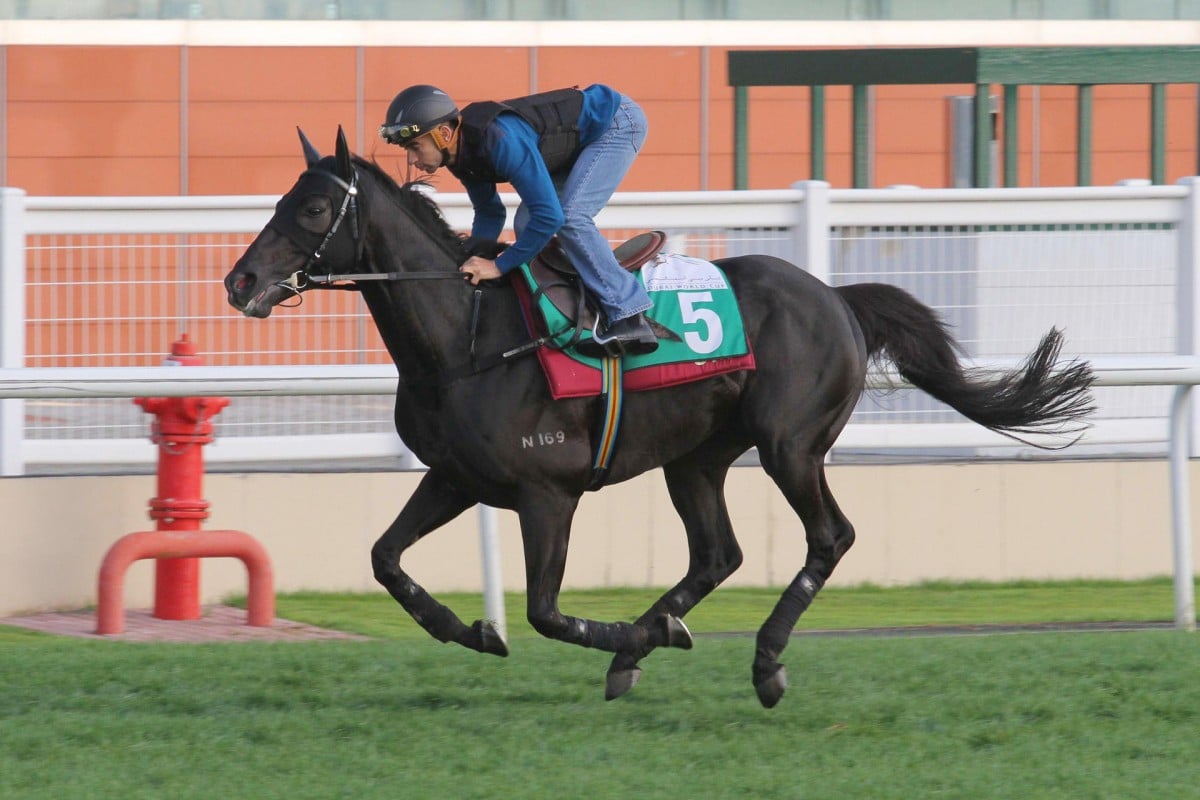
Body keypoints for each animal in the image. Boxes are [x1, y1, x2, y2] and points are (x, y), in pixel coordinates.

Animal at [225, 128, 1099, 710]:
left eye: (311, 208)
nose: (240, 282)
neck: (467, 335)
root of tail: (836, 298)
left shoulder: (548, 492)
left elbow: (545, 612)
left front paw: (618, 638)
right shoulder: (457, 475)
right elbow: (386, 559)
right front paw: (468, 628)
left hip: (790, 445)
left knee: (829, 537)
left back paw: (758, 661)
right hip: (697, 457)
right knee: (717, 553)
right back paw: (654, 639)